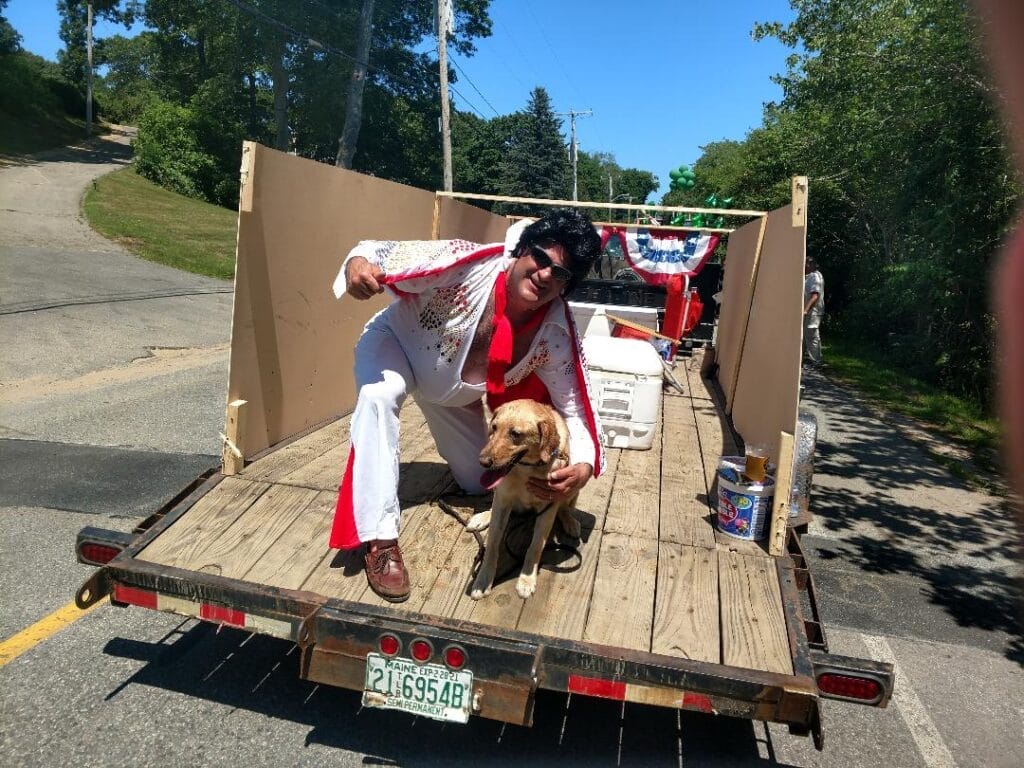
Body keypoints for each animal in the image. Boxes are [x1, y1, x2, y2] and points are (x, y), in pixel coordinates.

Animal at [469, 398, 581, 600]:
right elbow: (492, 545)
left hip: (571, 487)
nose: (482, 462)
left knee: (565, 508)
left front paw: (527, 579)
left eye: (515, 434)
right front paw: (483, 579)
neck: (526, 469)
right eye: (494, 427)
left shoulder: (548, 508)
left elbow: (535, 546)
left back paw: (570, 521)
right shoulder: (503, 499)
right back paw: (482, 517)